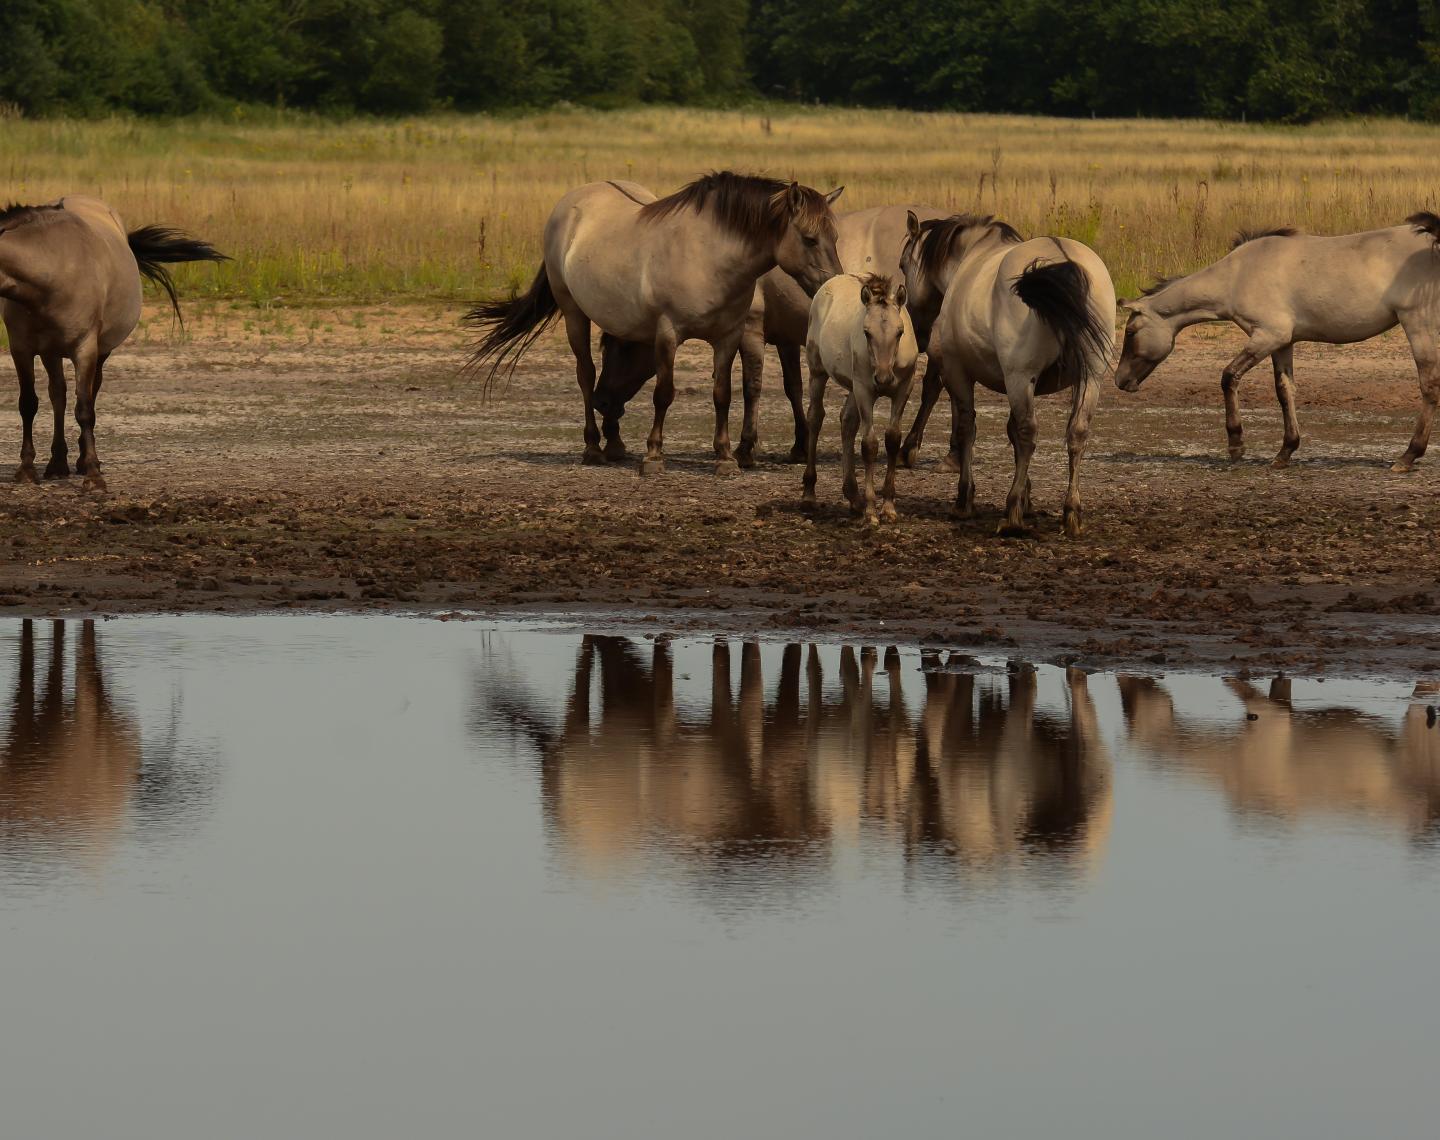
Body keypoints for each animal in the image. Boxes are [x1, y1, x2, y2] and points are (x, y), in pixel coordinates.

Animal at [0, 196, 228, 491]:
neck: (51, 270)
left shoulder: (85, 349)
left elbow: (84, 409)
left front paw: (93, 475)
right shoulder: (21, 349)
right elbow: (28, 404)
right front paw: (26, 470)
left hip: (100, 352)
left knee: (89, 394)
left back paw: (82, 461)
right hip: (51, 353)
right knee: (58, 395)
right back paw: (57, 463)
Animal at [465, 172, 844, 475]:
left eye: (835, 238)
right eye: (809, 239)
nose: (834, 285)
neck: (708, 254)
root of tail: (569, 204)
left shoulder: (728, 336)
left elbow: (722, 395)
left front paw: (725, 458)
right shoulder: (668, 333)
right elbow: (663, 394)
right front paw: (654, 456)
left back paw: (615, 444)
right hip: (575, 314)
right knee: (586, 376)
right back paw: (593, 447)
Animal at [801, 273, 919, 525]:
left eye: (899, 332)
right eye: (867, 332)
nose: (883, 378)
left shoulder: (903, 389)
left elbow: (892, 439)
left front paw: (888, 507)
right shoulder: (865, 390)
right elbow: (869, 445)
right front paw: (872, 511)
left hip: (852, 387)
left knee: (847, 421)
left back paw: (854, 497)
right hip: (818, 372)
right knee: (815, 417)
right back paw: (809, 494)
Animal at [898, 212, 1116, 537]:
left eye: (902, 265)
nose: (918, 329)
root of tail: (1064, 260)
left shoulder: (958, 373)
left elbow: (968, 429)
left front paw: (965, 499)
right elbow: (1011, 432)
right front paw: (1027, 496)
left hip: (1019, 376)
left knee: (1028, 434)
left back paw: (1012, 514)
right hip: (1089, 378)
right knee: (1076, 433)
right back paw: (1071, 512)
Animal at [1115, 214, 1440, 472]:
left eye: (1130, 332)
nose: (1119, 380)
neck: (1237, 275)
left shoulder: (1269, 336)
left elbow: (1229, 376)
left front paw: (1236, 444)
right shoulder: (1283, 343)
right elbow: (1284, 391)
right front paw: (1285, 451)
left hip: (1418, 324)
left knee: (1429, 386)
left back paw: (1408, 456)